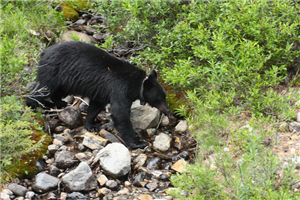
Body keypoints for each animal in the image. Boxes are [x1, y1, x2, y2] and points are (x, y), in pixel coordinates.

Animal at [26, 41, 169, 149]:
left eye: (164, 96)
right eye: (160, 98)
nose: (167, 110)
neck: (137, 83)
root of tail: (44, 52)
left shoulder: (102, 91)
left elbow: (96, 105)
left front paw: (90, 125)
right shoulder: (119, 89)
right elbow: (120, 114)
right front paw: (138, 143)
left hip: (66, 81)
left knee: (58, 91)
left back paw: (60, 102)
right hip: (53, 71)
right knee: (42, 89)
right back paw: (31, 106)